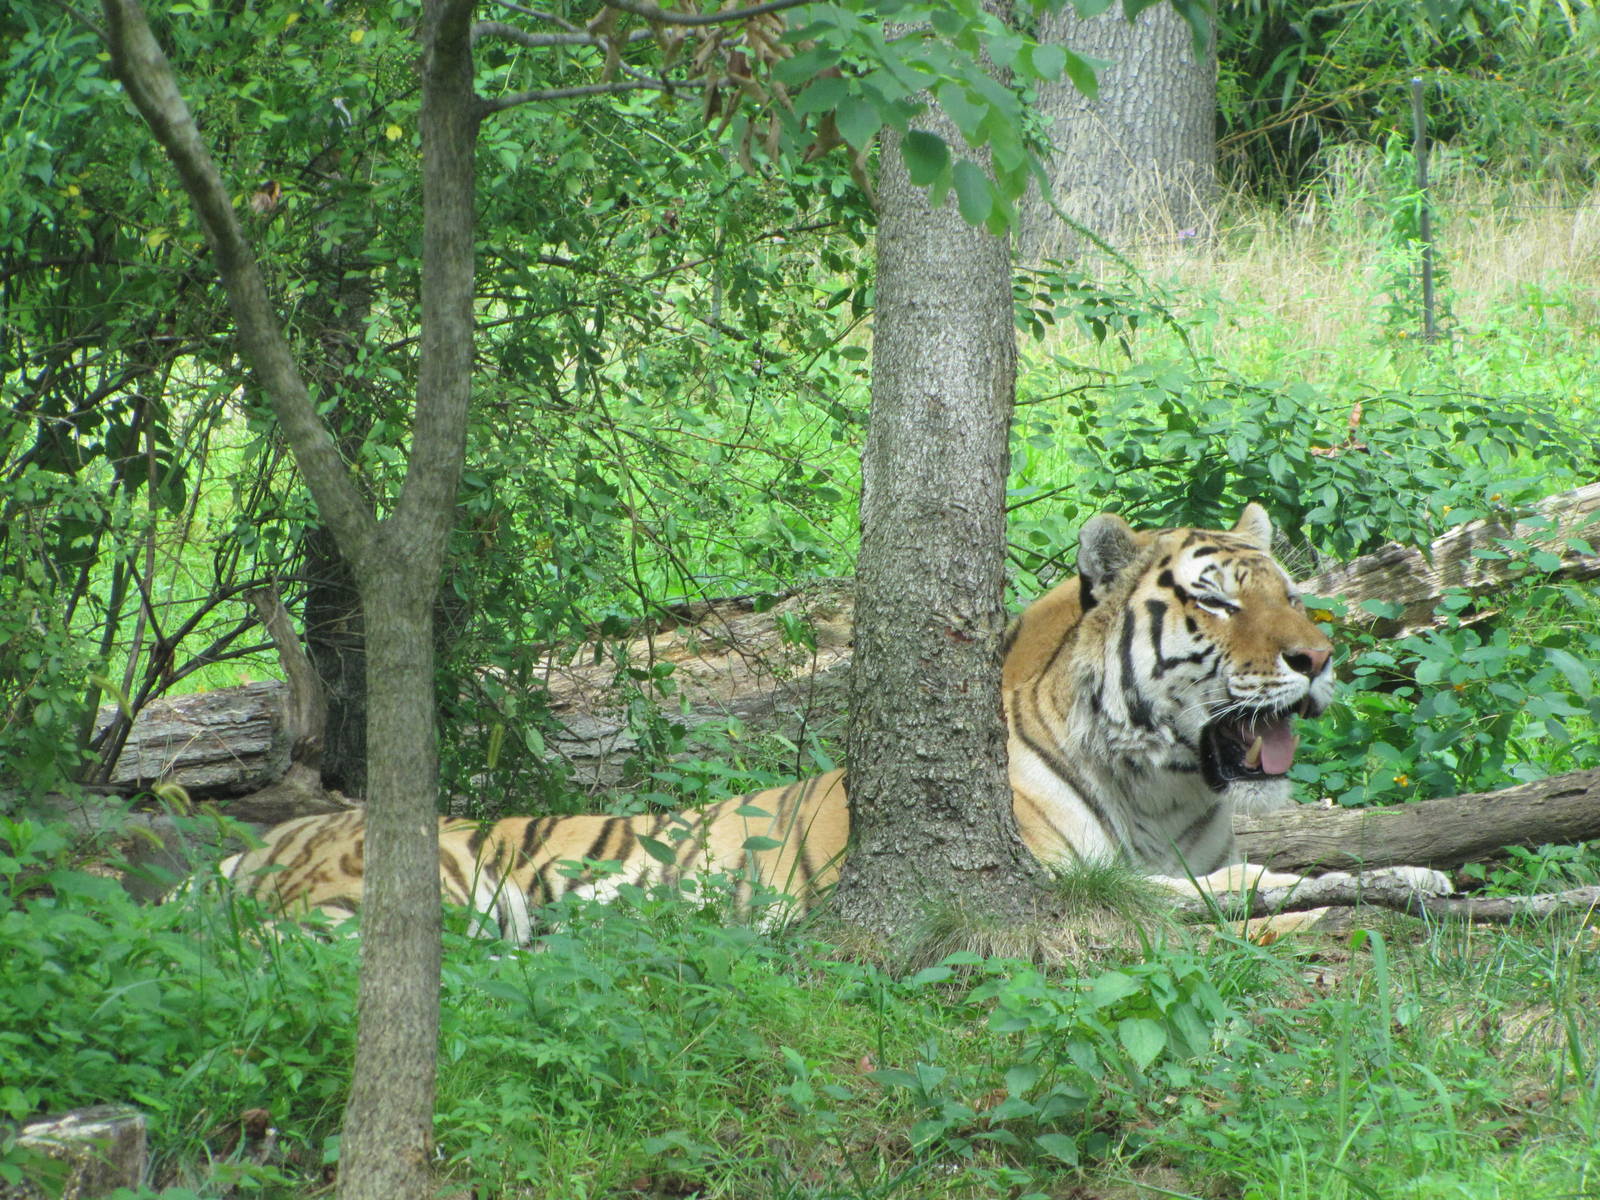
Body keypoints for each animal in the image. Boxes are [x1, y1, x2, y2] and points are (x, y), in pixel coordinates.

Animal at [209, 504, 1443, 942]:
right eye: (1219, 600)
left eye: (1289, 590)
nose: (1319, 658)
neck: (1165, 787)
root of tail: (244, 852)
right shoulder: (1069, 883)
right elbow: (1248, 886)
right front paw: (1362, 891)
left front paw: (1419, 875)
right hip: (438, 886)